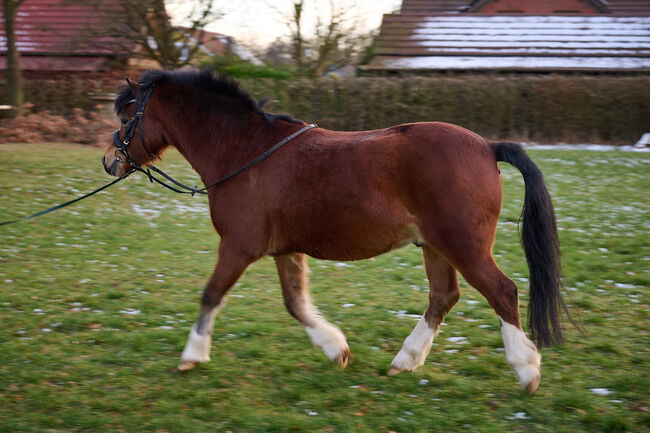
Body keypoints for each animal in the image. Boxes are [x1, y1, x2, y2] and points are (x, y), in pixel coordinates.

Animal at [102, 66, 568, 392]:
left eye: (127, 114)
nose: (110, 160)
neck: (244, 150)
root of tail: (487, 147)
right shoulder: (285, 250)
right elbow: (295, 303)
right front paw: (336, 349)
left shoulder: (238, 246)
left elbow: (211, 294)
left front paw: (192, 356)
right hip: (435, 245)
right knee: (443, 297)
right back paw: (405, 360)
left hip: (462, 245)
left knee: (501, 292)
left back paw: (526, 371)